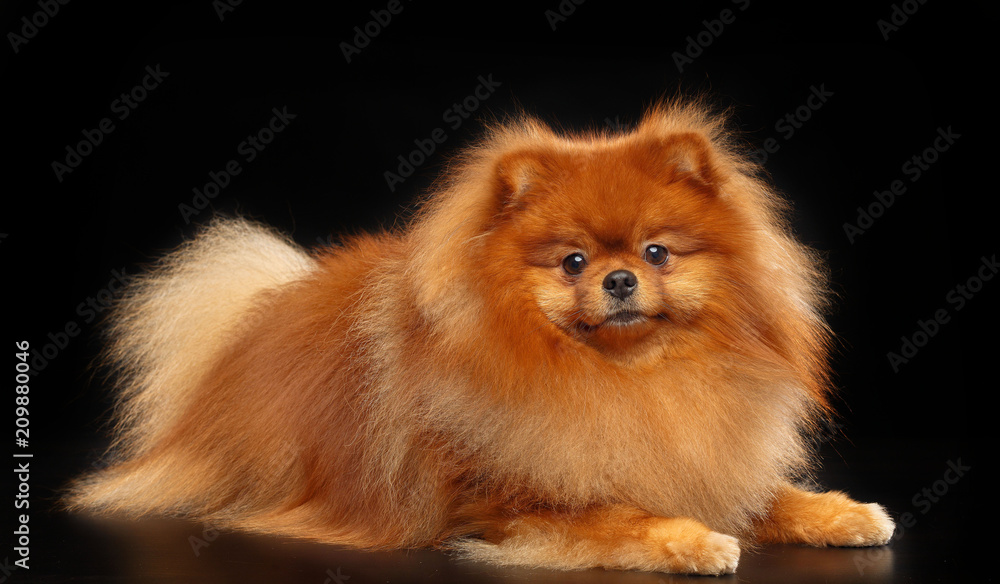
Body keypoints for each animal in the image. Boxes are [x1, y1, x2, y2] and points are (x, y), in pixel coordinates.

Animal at [72, 98, 900, 572]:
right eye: (572, 261)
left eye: (657, 252)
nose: (619, 279)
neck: (626, 380)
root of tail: (255, 316)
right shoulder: (503, 502)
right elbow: (617, 517)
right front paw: (693, 541)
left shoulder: (704, 456)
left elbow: (767, 496)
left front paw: (843, 512)